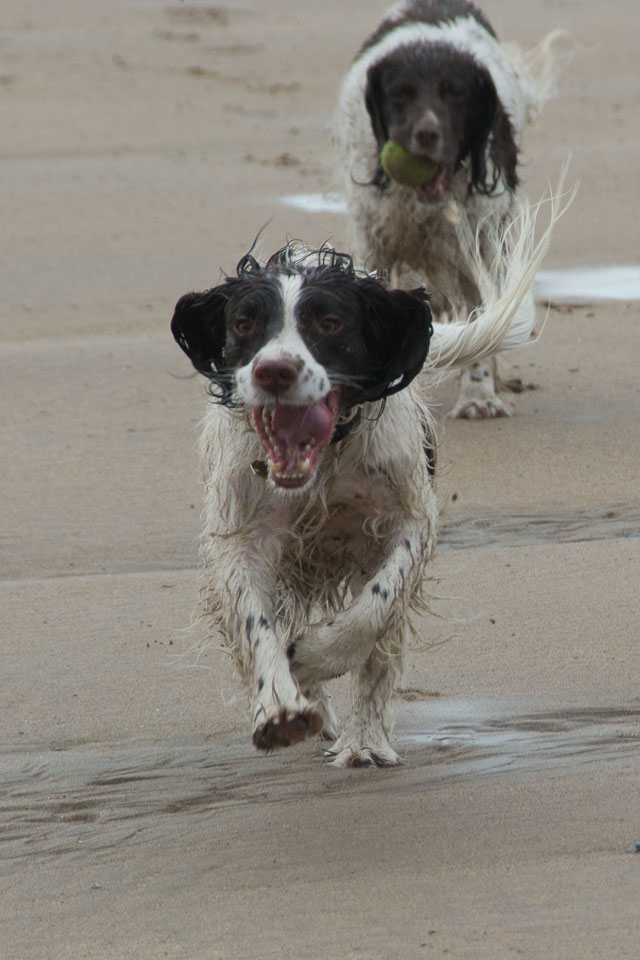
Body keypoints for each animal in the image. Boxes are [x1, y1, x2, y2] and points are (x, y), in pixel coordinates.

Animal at [336, 0, 564, 420]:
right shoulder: (374, 239)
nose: (427, 134)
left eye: (456, 93)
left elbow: (482, 318)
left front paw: (478, 396)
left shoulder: (480, 246)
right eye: (399, 93)